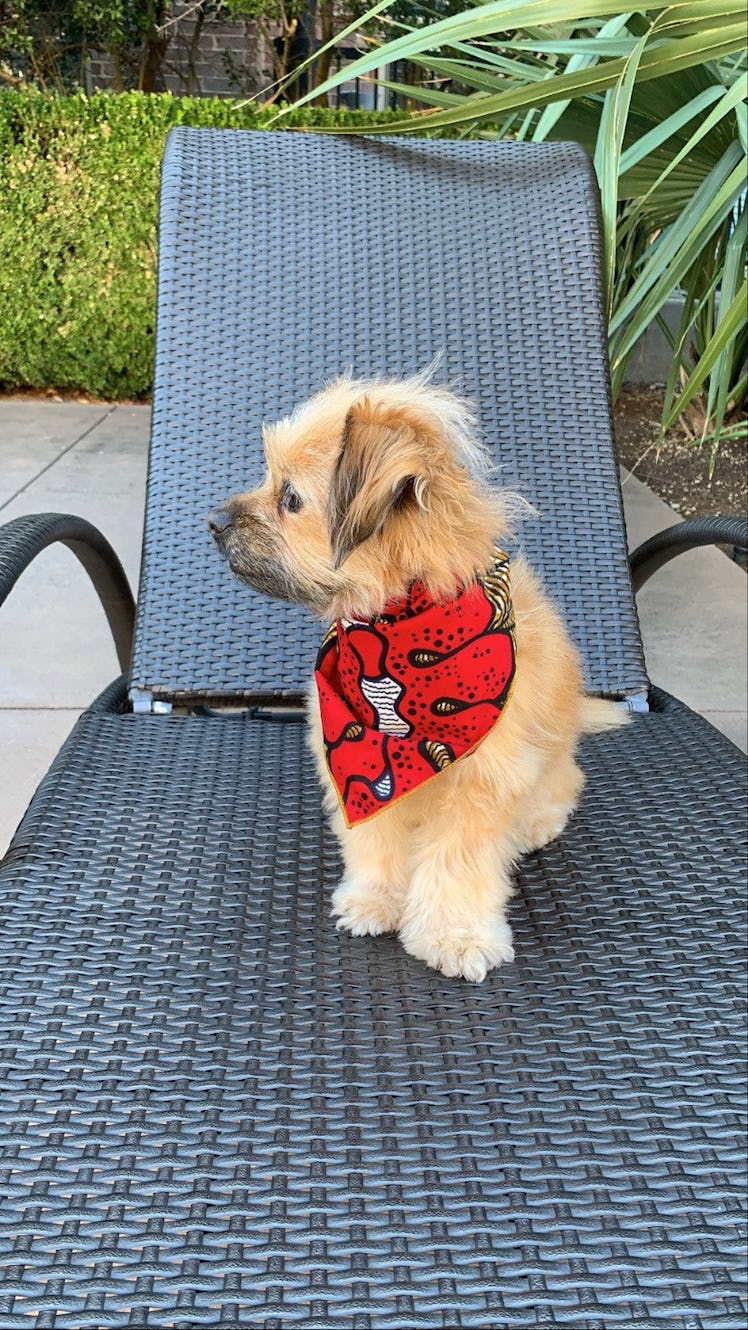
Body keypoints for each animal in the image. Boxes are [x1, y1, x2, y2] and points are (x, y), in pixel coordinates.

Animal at [206, 369, 620, 984]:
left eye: (290, 497)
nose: (213, 522)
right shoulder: (360, 771)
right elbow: (377, 842)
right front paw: (375, 899)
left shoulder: (483, 787)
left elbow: (458, 864)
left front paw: (456, 935)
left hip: (549, 764)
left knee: (565, 785)